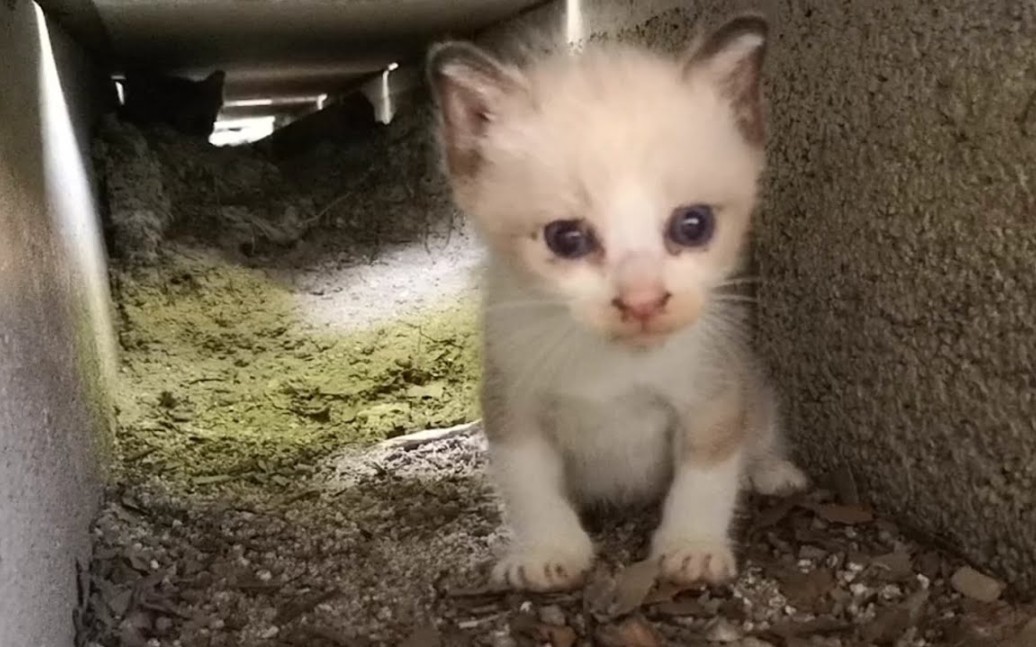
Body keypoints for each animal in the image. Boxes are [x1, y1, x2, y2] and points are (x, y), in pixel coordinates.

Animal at [424, 13, 803, 592]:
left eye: (693, 225)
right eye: (566, 238)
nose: (643, 301)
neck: (616, 362)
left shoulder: (712, 396)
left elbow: (706, 477)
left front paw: (691, 547)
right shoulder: (513, 403)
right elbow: (529, 486)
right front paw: (548, 552)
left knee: (758, 431)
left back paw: (772, 471)